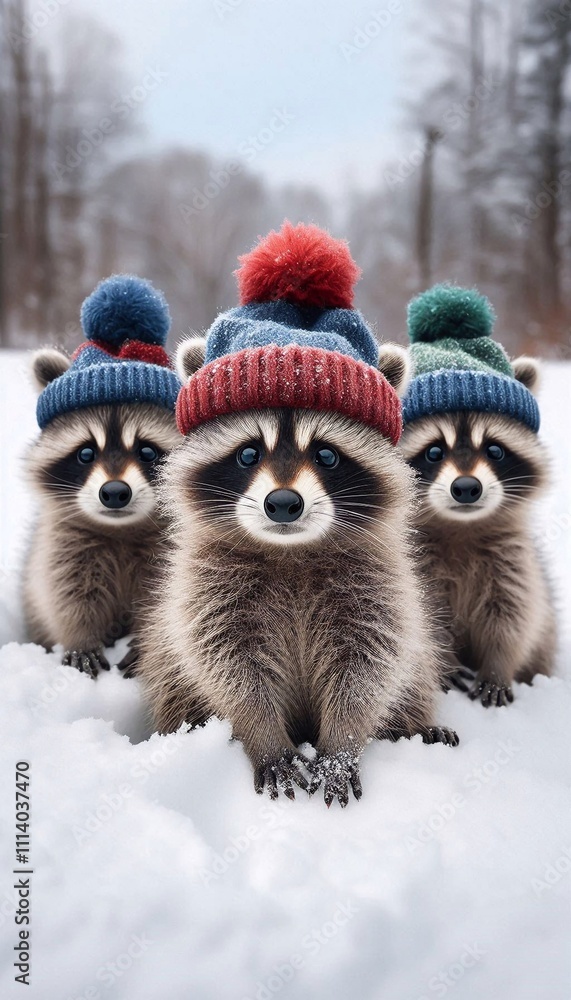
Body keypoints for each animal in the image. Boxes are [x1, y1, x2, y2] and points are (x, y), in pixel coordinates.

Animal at [138, 337, 458, 808]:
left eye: (326, 454)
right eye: (248, 453)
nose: (284, 503)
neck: (291, 552)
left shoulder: (377, 587)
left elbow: (369, 666)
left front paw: (341, 746)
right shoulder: (207, 589)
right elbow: (226, 665)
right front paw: (264, 737)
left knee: (413, 669)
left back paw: (415, 726)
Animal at [400, 357, 556, 707]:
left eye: (494, 450)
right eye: (434, 452)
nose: (467, 488)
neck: (462, 528)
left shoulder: (513, 564)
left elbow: (514, 619)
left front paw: (498, 667)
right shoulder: (418, 565)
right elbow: (427, 618)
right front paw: (445, 662)